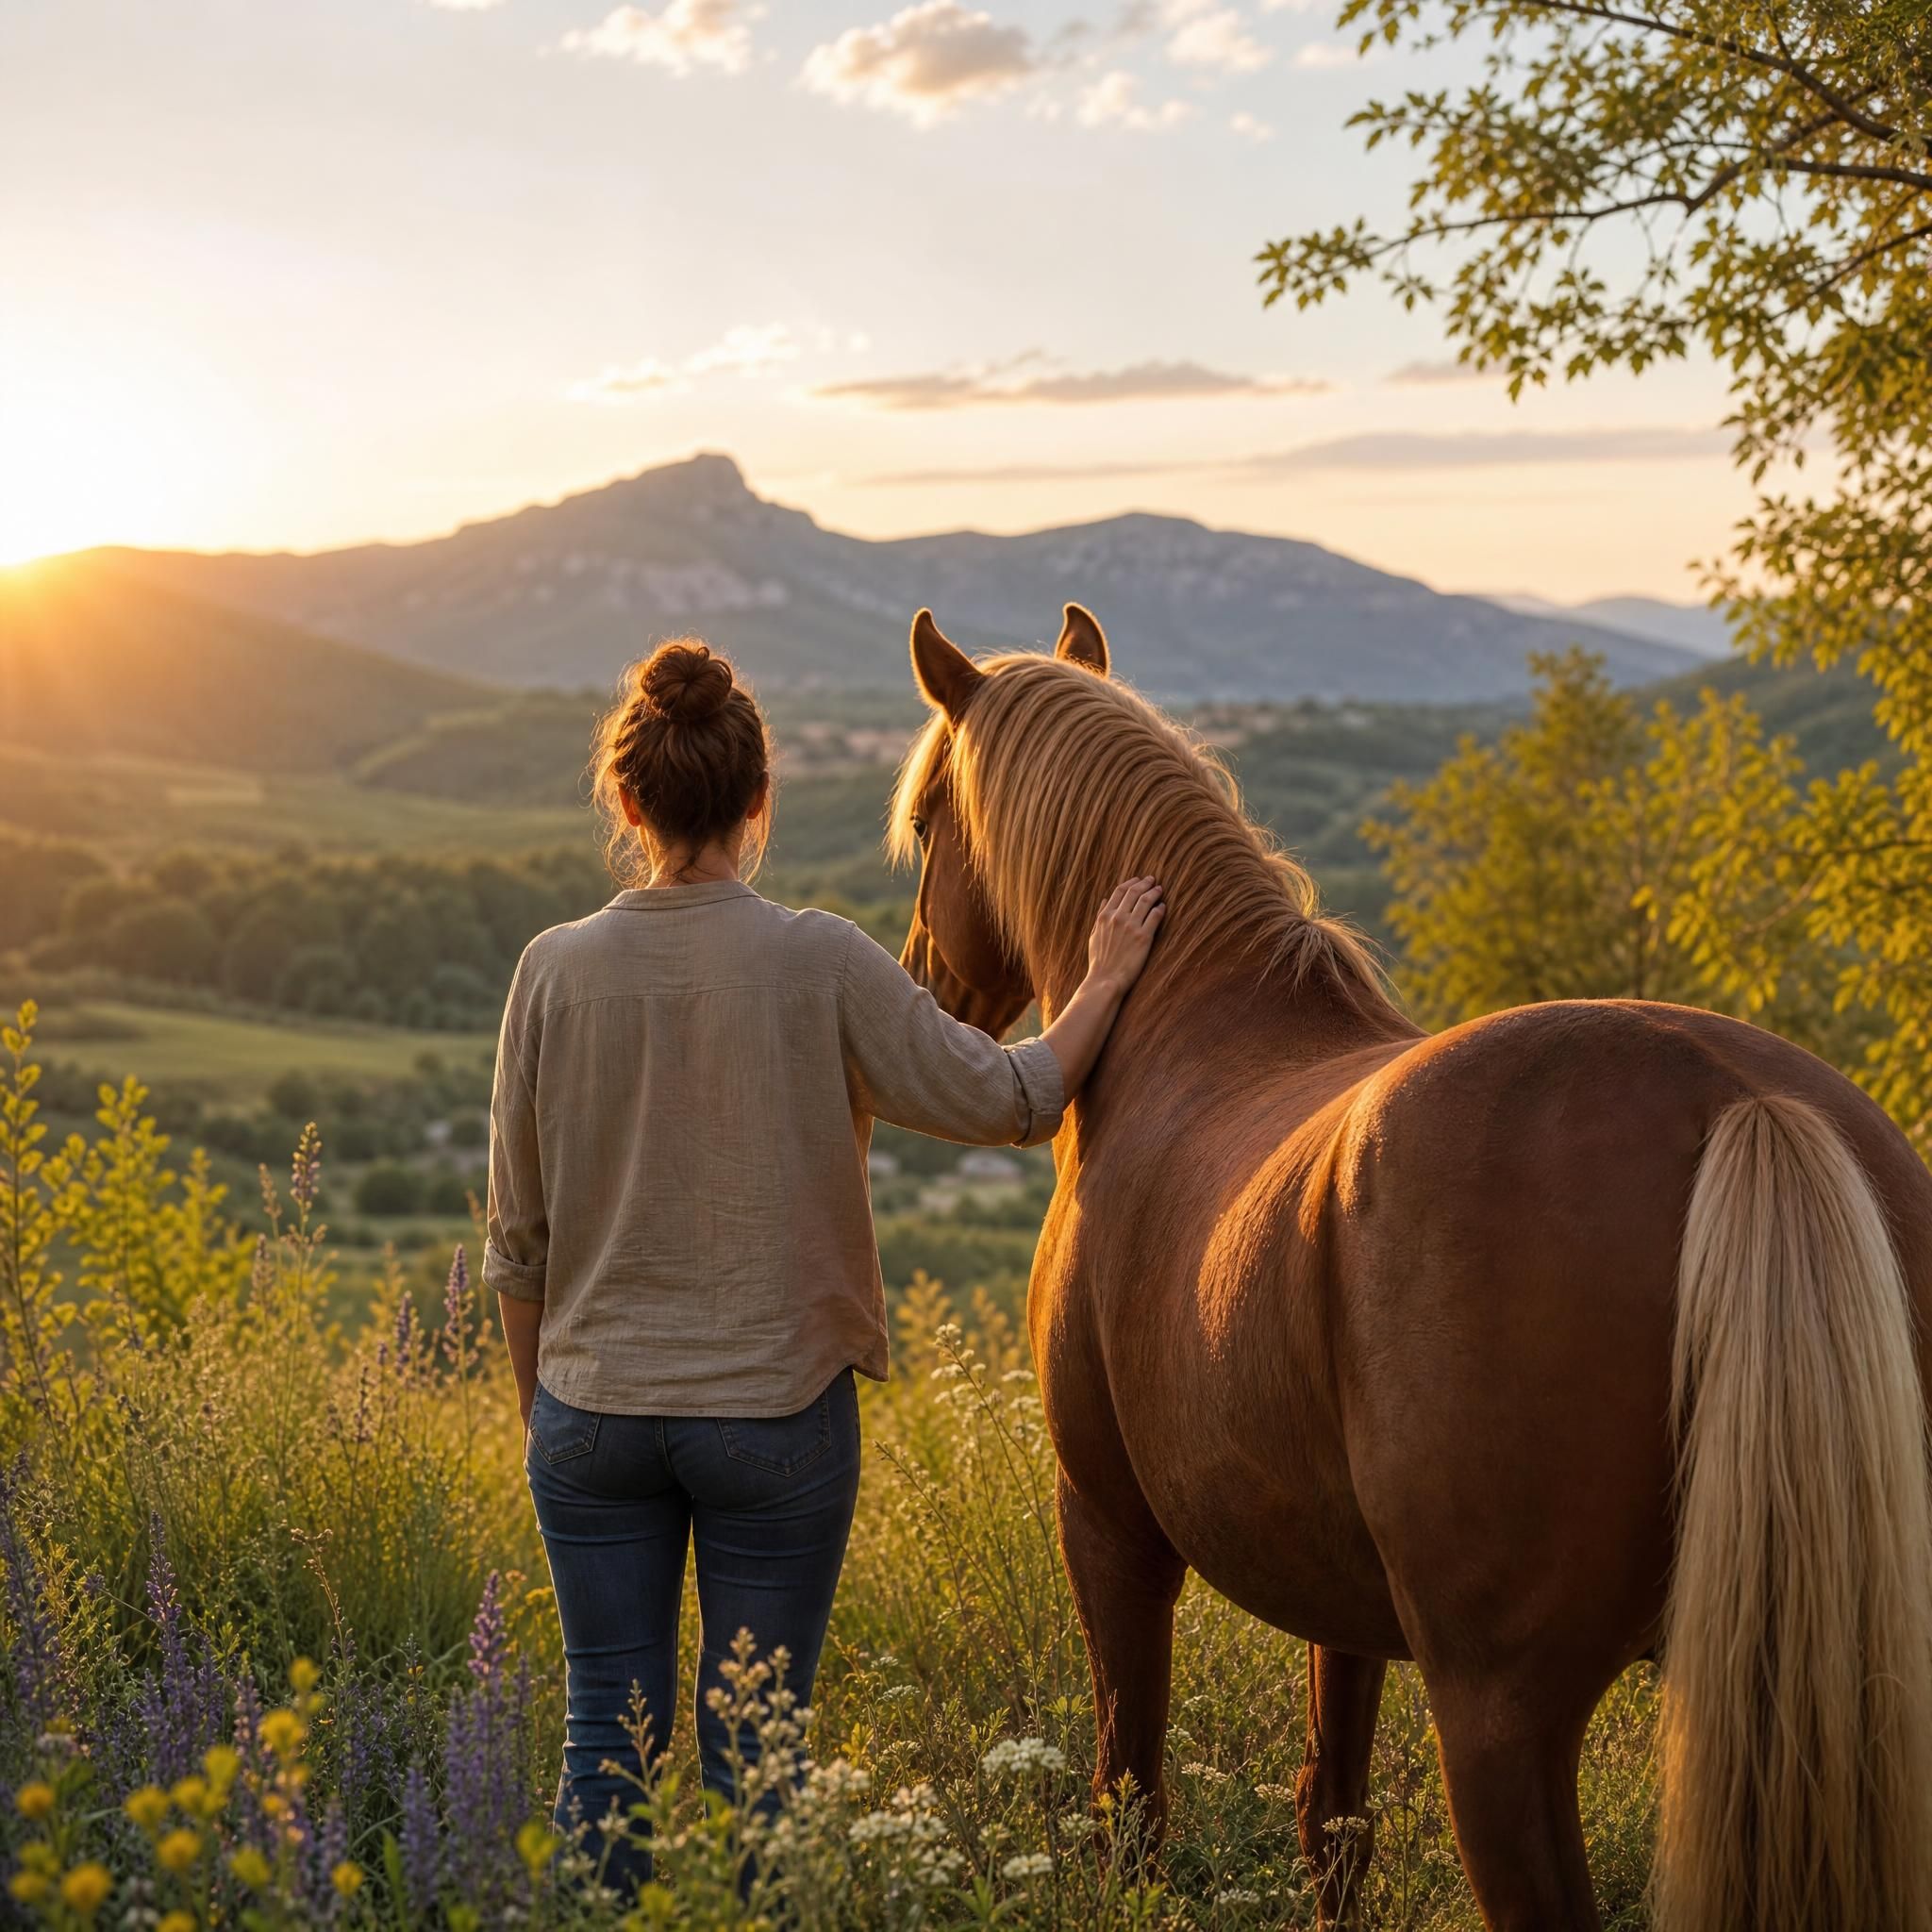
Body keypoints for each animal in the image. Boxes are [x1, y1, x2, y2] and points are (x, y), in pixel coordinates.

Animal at [885, 602, 1932, 1932]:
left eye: (928, 820)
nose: (924, 982)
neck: (1184, 1029)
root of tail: (1742, 1100)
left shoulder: (1108, 1524)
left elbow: (1132, 1790)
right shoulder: (1344, 1591)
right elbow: (1332, 1810)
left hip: (1496, 1713)